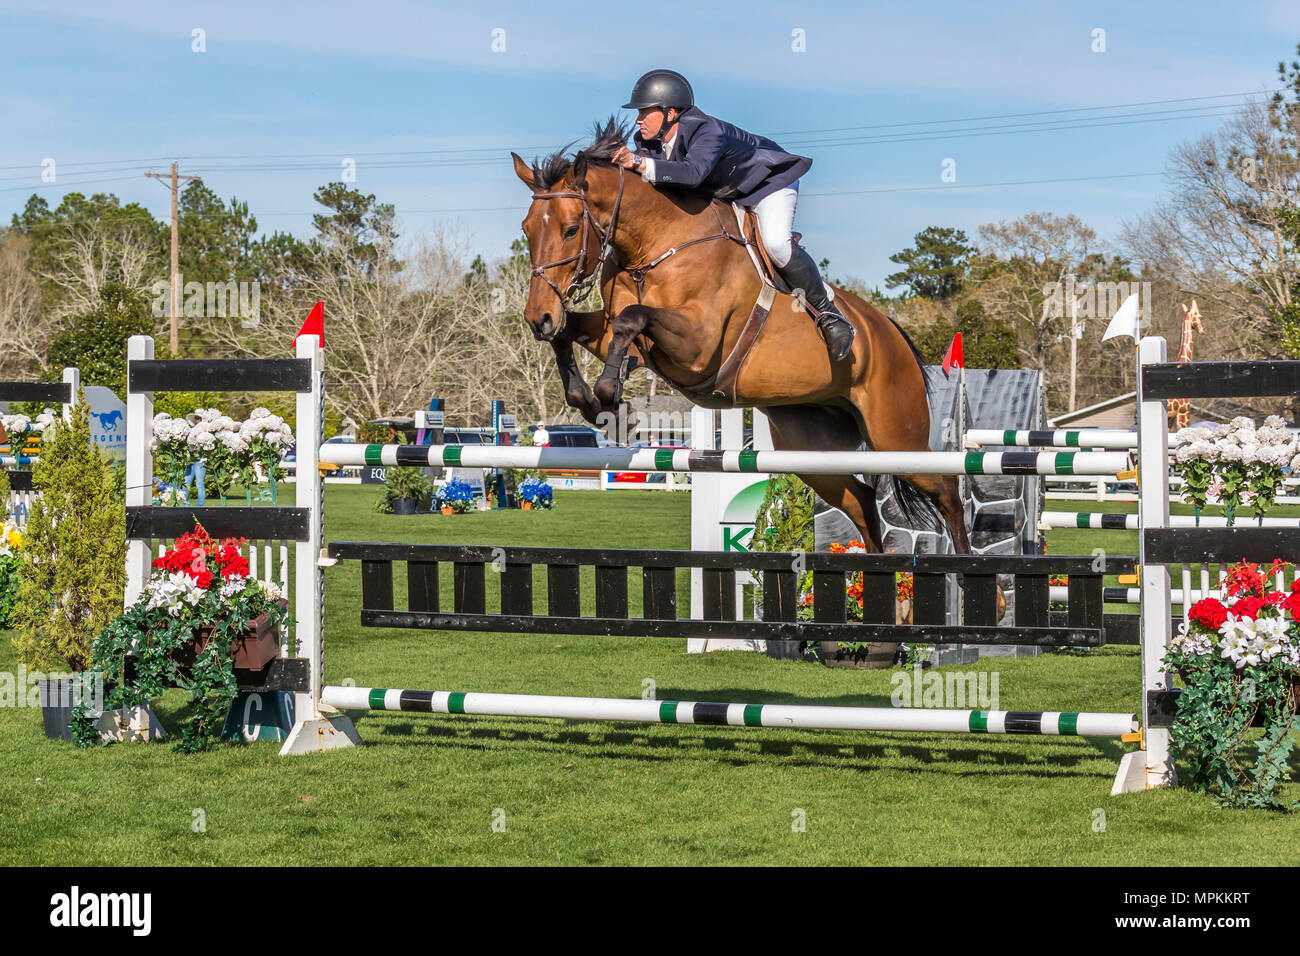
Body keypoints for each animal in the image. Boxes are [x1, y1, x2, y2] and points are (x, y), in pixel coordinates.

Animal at [512, 120, 972, 556]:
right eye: (527, 229)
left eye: (571, 229)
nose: (537, 318)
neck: (652, 247)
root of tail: (890, 330)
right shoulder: (620, 335)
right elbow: (575, 331)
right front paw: (591, 401)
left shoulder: (698, 347)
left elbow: (632, 318)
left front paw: (610, 399)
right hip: (812, 450)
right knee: (861, 500)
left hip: (897, 436)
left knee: (947, 491)